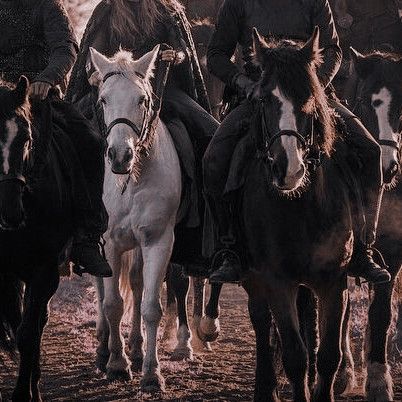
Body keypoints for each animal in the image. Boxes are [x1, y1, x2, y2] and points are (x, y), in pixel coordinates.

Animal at [89, 45, 193, 392]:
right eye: (103, 99)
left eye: (142, 100)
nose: (120, 156)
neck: (131, 180)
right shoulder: (108, 243)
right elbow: (112, 304)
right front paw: (116, 365)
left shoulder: (158, 241)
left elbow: (149, 306)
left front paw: (150, 372)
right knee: (104, 290)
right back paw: (104, 350)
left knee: (135, 284)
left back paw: (135, 349)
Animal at [240, 26, 354, 400]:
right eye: (263, 100)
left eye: (310, 98)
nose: (288, 169)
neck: (301, 207)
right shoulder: (278, 281)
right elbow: (294, 355)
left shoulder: (334, 280)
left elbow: (329, 353)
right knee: (261, 323)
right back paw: (265, 388)